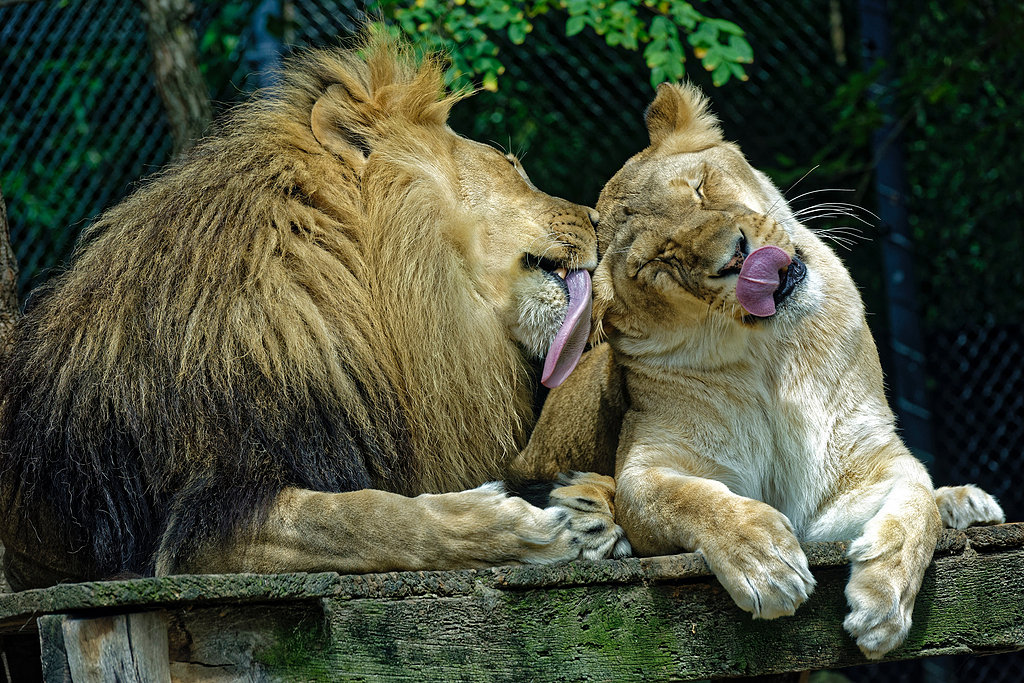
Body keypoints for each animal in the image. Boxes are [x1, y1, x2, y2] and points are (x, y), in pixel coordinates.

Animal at [0, 36, 622, 593]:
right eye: (511, 166)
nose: (598, 220)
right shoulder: (196, 525)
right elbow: (366, 519)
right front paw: (526, 528)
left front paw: (586, 504)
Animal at [524, 82, 1003, 659]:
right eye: (660, 262)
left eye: (700, 188)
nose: (738, 257)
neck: (771, 358)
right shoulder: (649, 467)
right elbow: (688, 498)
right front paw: (765, 563)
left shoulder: (854, 473)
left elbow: (916, 501)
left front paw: (884, 601)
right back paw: (586, 517)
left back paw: (967, 503)